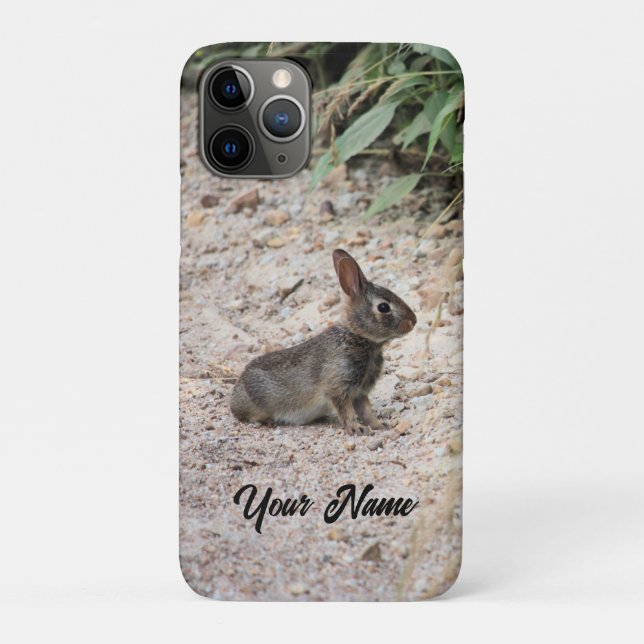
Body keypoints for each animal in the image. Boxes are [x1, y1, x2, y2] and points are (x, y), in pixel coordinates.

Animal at [230, 249, 417, 435]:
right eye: (383, 307)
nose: (413, 321)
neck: (358, 337)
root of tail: (235, 395)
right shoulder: (338, 387)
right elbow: (346, 411)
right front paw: (357, 428)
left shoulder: (359, 392)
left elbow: (366, 411)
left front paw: (380, 425)